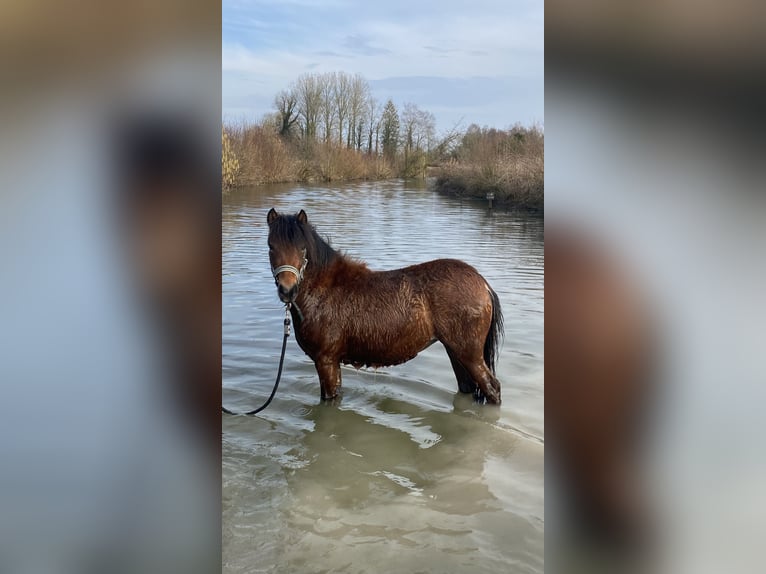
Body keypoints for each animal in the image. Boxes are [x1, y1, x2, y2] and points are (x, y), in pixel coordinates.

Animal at [268, 208, 508, 404]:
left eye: (302, 248)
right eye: (271, 246)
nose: (287, 290)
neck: (324, 289)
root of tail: (483, 284)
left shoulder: (326, 361)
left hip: (470, 354)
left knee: (492, 388)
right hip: (455, 352)